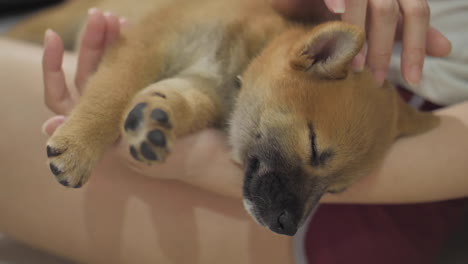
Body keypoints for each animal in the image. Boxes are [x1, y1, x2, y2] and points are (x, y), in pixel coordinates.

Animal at [7, 0, 438, 236]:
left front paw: (155, 120)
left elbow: (179, 101)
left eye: (336, 191)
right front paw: (79, 146)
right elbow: (111, 92)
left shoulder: (203, 87)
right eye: (313, 146)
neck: (239, 60)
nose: (287, 227)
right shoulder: (147, 42)